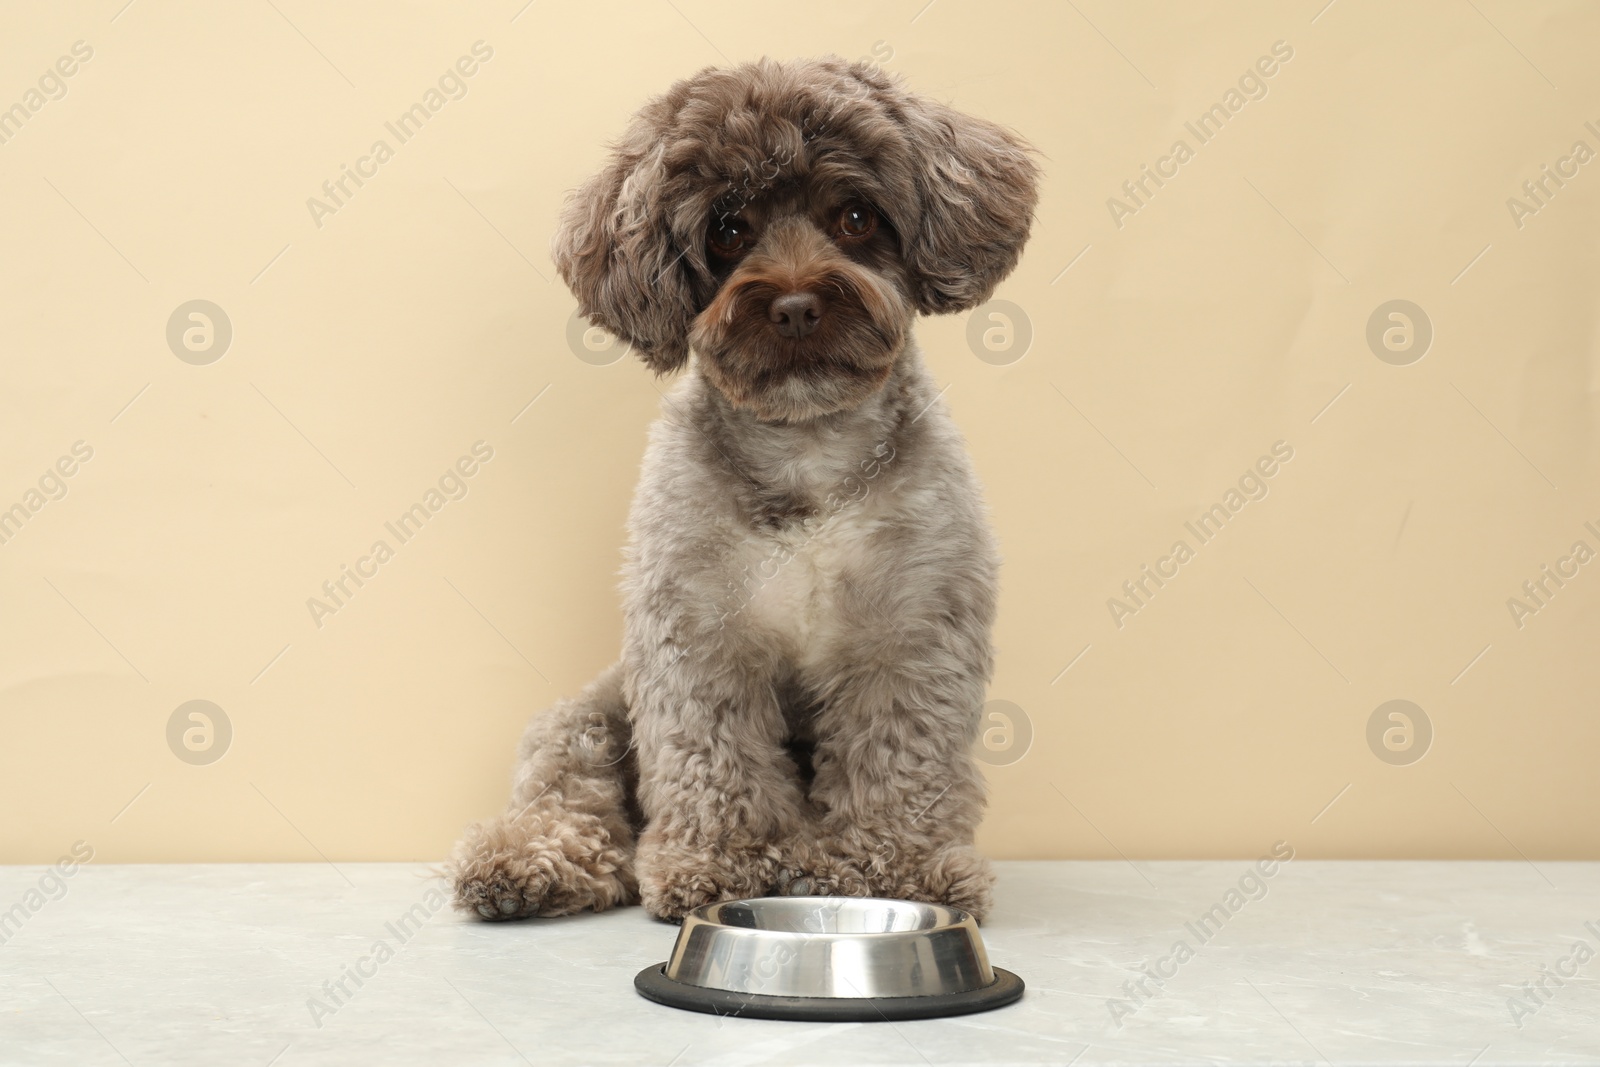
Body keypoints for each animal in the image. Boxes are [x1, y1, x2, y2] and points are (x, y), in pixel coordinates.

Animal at [448, 56, 1036, 927]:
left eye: (855, 215)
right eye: (726, 230)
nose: (794, 305)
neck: (807, 451)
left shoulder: (911, 633)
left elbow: (901, 757)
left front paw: (897, 866)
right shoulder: (697, 639)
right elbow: (714, 760)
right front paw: (722, 859)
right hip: (590, 712)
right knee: (572, 793)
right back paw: (528, 860)